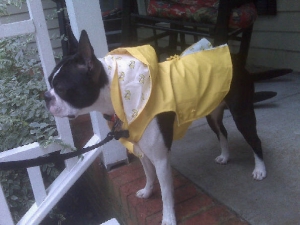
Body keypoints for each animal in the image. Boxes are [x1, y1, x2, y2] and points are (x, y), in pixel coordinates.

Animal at [44, 30, 264, 225]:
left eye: (61, 88)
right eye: (49, 83)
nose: (46, 96)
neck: (117, 94)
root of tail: (237, 60)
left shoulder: (161, 158)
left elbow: (166, 193)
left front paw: (168, 218)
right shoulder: (141, 149)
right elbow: (148, 174)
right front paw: (148, 191)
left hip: (242, 114)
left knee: (255, 140)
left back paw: (260, 169)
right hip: (213, 112)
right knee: (222, 132)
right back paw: (225, 156)